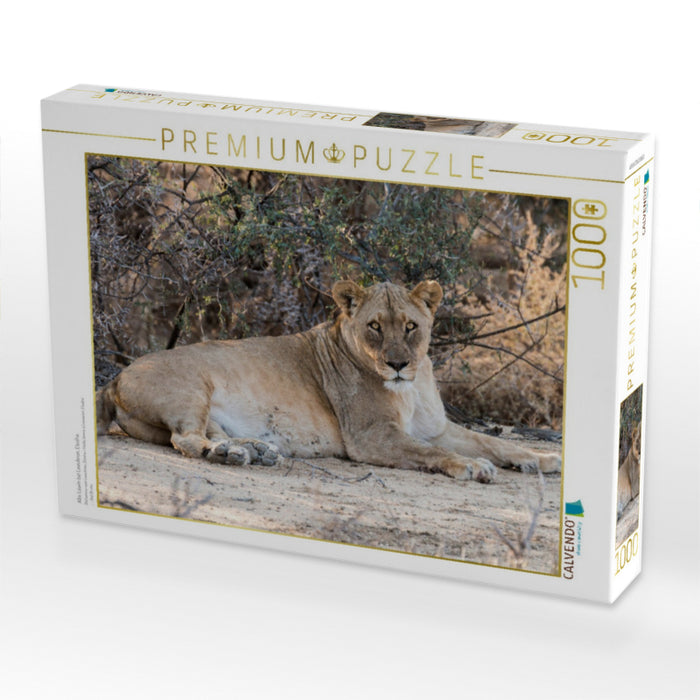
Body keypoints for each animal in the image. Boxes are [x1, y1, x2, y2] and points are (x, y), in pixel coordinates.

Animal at [96, 279, 561, 482]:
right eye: (374, 326)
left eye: (410, 326)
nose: (397, 364)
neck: (411, 386)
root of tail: (115, 379)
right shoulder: (371, 437)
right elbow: (429, 452)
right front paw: (472, 466)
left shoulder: (438, 428)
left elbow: (495, 442)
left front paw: (541, 459)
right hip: (193, 388)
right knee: (187, 440)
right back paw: (232, 456)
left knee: (209, 435)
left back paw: (255, 451)